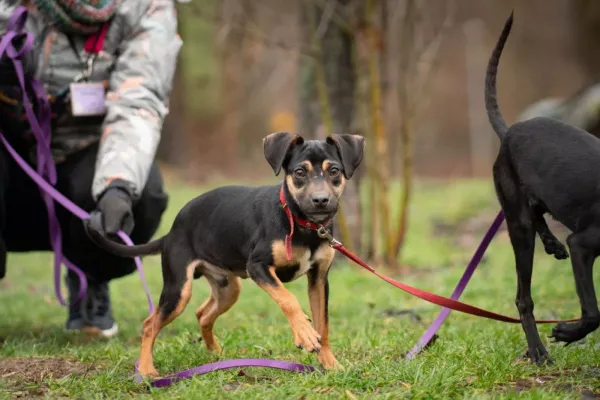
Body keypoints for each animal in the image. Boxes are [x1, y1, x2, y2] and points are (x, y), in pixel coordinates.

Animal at [85, 133, 366, 376]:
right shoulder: (258, 266)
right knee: (149, 324)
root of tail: (171, 232)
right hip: (179, 290)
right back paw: (146, 370)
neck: (302, 224)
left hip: (228, 288)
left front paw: (331, 364)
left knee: (202, 314)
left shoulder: (318, 279)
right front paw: (305, 333)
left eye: (334, 171)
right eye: (299, 172)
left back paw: (216, 355)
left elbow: (324, 325)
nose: (321, 200)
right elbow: (288, 299)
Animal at [488, 12, 600, 364]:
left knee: (539, 212)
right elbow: (593, 312)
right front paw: (567, 332)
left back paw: (552, 243)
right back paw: (538, 351)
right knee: (523, 298)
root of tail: (509, 131)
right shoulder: (583, 245)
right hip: (518, 226)